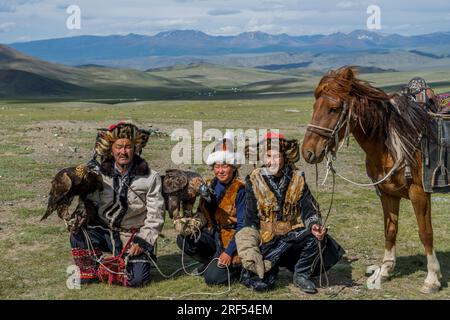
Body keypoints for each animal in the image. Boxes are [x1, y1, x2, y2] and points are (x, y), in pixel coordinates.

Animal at [300, 66, 442, 294]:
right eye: (315, 106)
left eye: (333, 109)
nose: (308, 152)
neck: (392, 143)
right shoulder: (387, 193)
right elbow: (390, 231)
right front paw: (385, 270)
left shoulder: (419, 192)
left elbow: (425, 233)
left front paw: (432, 279)